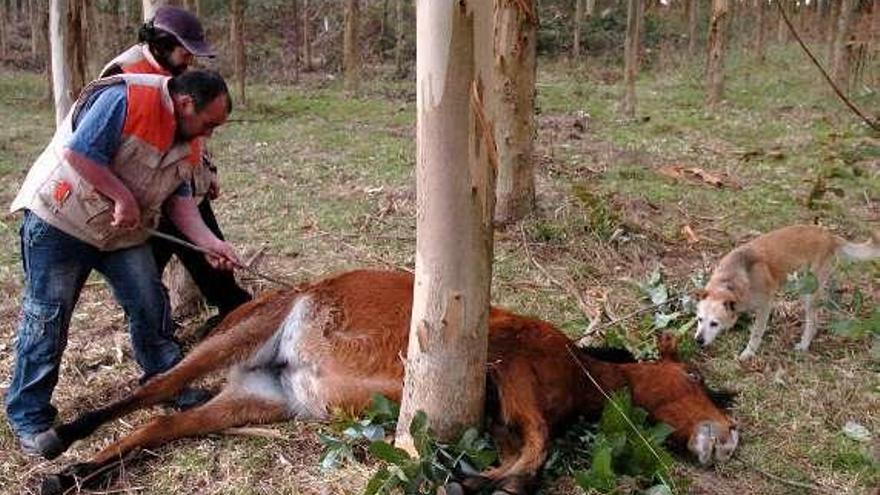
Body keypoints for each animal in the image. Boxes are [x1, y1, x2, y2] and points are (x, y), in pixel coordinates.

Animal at [37, 272, 736, 495]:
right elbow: (538, 446)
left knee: (164, 421)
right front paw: (478, 483)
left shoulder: (502, 413)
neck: (579, 365)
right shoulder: (512, 366)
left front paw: (481, 478)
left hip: (258, 400)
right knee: (152, 389)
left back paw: (72, 476)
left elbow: (529, 451)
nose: (728, 435)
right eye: (692, 376)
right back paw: (59, 441)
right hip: (236, 338)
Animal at [696, 226, 876, 360]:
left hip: (808, 293)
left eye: (714, 323)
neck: (730, 281)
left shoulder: (765, 305)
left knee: (813, 322)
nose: (698, 340)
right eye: (699, 319)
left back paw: (804, 345)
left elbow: (756, 333)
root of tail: (830, 236)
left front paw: (748, 352)